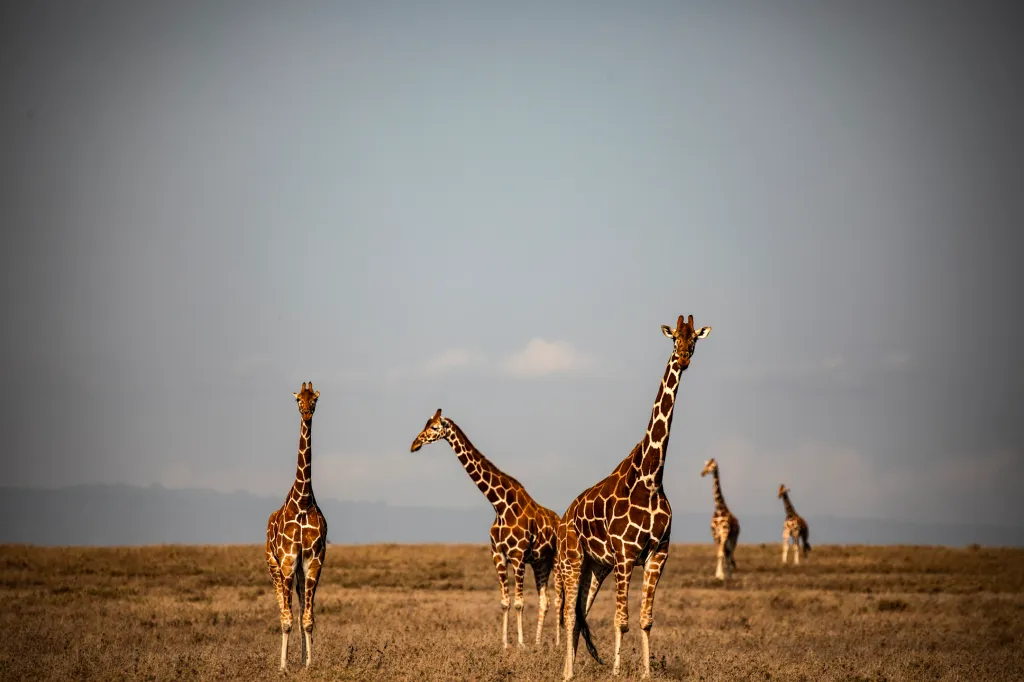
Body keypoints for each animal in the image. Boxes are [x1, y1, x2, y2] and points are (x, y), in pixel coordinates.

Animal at [411, 408, 561, 649]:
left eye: (434, 427)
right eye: (425, 423)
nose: (414, 444)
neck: (500, 505)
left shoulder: (517, 556)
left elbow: (519, 602)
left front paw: (520, 644)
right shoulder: (498, 555)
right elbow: (505, 602)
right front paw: (505, 644)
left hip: (556, 560)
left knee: (558, 600)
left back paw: (557, 643)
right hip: (540, 562)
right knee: (544, 600)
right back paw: (538, 643)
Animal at [557, 314, 712, 680]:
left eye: (694, 340)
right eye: (674, 339)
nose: (683, 359)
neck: (651, 478)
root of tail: (566, 515)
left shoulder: (658, 554)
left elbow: (645, 620)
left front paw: (646, 672)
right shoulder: (626, 556)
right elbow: (621, 620)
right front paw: (616, 672)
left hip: (596, 567)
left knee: (581, 614)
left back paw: (573, 669)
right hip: (573, 559)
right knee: (569, 614)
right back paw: (566, 673)